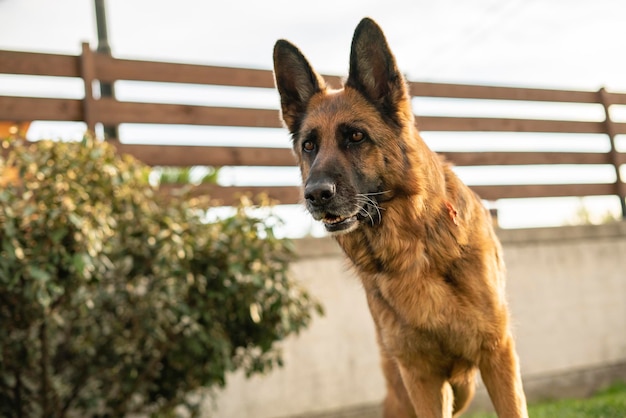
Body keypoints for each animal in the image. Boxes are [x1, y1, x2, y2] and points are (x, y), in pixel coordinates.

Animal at [272, 17, 528, 418]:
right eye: (309, 146)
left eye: (356, 136)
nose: (315, 195)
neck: (411, 250)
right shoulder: (420, 378)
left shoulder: (497, 354)